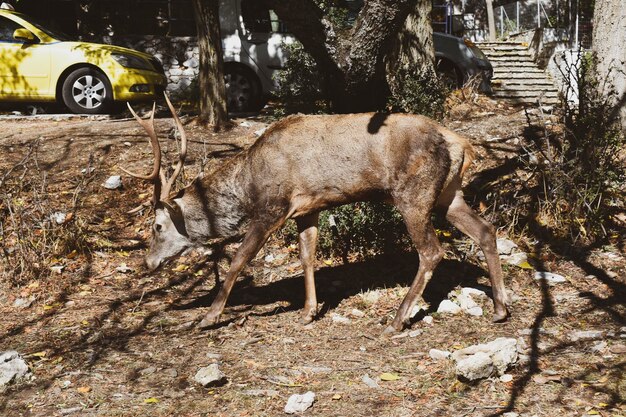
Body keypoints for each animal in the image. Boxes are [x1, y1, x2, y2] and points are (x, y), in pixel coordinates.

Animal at [123, 95, 508, 334]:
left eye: (157, 226)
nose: (147, 263)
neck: (249, 185)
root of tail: (461, 143)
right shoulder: (307, 209)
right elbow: (307, 256)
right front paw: (309, 311)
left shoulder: (272, 208)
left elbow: (239, 260)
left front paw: (209, 316)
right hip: (448, 194)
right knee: (486, 230)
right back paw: (501, 308)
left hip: (414, 193)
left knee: (431, 250)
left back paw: (397, 319)